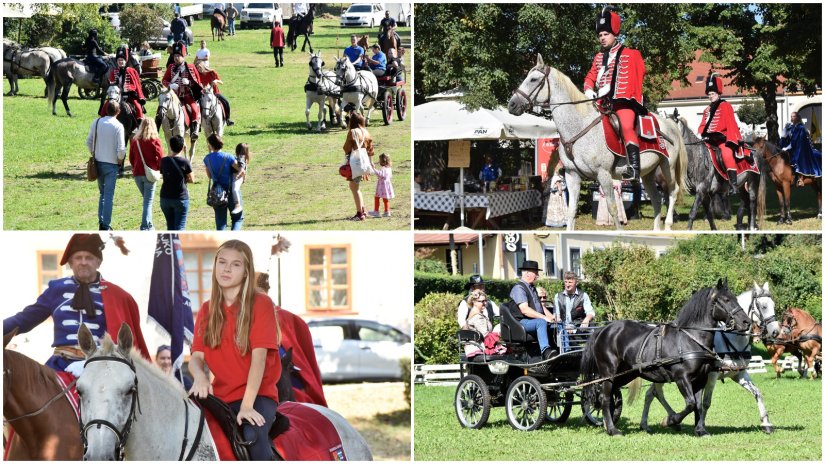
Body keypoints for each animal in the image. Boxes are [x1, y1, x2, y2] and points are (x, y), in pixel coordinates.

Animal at [508, 55, 688, 231]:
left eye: (533, 79)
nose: (512, 105)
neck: (579, 126)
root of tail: (668, 124)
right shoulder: (572, 175)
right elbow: (571, 211)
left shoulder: (604, 175)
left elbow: (613, 209)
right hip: (648, 173)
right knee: (656, 199)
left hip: (667, 166)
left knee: (672, 192)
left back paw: (668, 225)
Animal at [576, 278, 748, 436]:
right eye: (726, 300)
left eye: (735, 298)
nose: (746, 322)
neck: (690, 338)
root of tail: (603, 330)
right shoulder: (682, 378)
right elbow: (690, 404)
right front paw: (669, 421)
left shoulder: (701, 378)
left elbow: (698, 405)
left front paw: (700, 430)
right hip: (608, 373)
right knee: (604, 398)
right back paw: (613, 430)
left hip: (625, 374)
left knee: (609, 395)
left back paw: (608, 425)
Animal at [636, 282, 780, 436]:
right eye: (763, 306)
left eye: (773, 304)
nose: (776, 331)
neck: (730, 340)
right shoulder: (711, 374)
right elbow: (706, 402)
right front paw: (701, 426)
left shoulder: (739, 373)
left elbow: (757, 393)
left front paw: (766, 423)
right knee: (654, 393)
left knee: (652, 393)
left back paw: (660, 422)